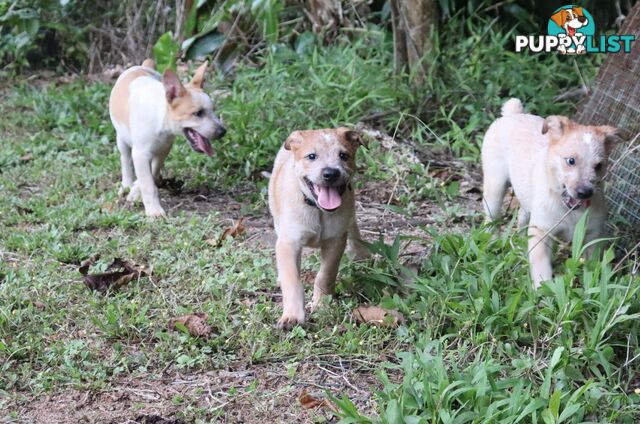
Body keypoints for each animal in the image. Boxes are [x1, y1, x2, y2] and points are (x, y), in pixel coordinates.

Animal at [110, 58, 228, 217]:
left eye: (213, 111)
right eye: (198, 113)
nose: (223, 132)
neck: (160, 119)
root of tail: (140, 66)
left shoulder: (163, 150)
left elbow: (150, 174)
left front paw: (136, 193)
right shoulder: (140, 154)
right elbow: (147, 183)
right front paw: (154, 211)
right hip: (121, 139)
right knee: (125, 161)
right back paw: (126, 185)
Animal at [268, 127, 370, 330]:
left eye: (343, 155)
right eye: (311, 156)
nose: (330, 173)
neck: (317, 209)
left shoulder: (335, 241)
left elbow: (326, 274)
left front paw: (322, 304)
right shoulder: (289, 242)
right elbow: (292, 280)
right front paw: (292, 316)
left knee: (353, 225)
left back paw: (360, 252)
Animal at [482, 97, 616, 286]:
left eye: (598, 166)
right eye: (571, 160)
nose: (585, 192)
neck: (569, 210)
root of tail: (513, 114)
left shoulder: (592, 235)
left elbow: (592, 267)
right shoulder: (541, 232)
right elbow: (542, 268)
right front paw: (543, 290)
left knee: (522, 216)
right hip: (495, 186)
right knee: (491, 217)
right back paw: (492, 241)